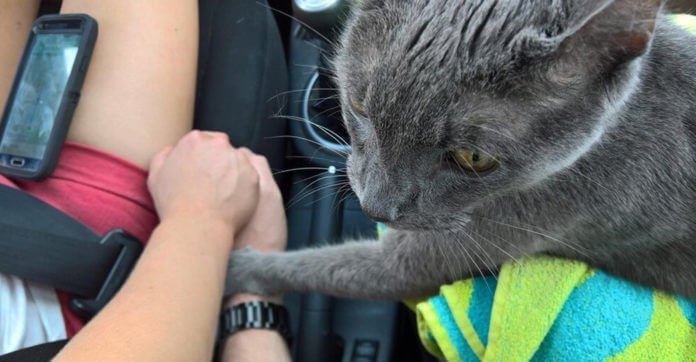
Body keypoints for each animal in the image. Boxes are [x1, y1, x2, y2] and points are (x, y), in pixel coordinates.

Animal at [227, 0, 696, 300]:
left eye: (474, 158)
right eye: (359, 107)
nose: (376, 207)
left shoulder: (542, 215)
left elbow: (335, 268)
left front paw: (233, 267)